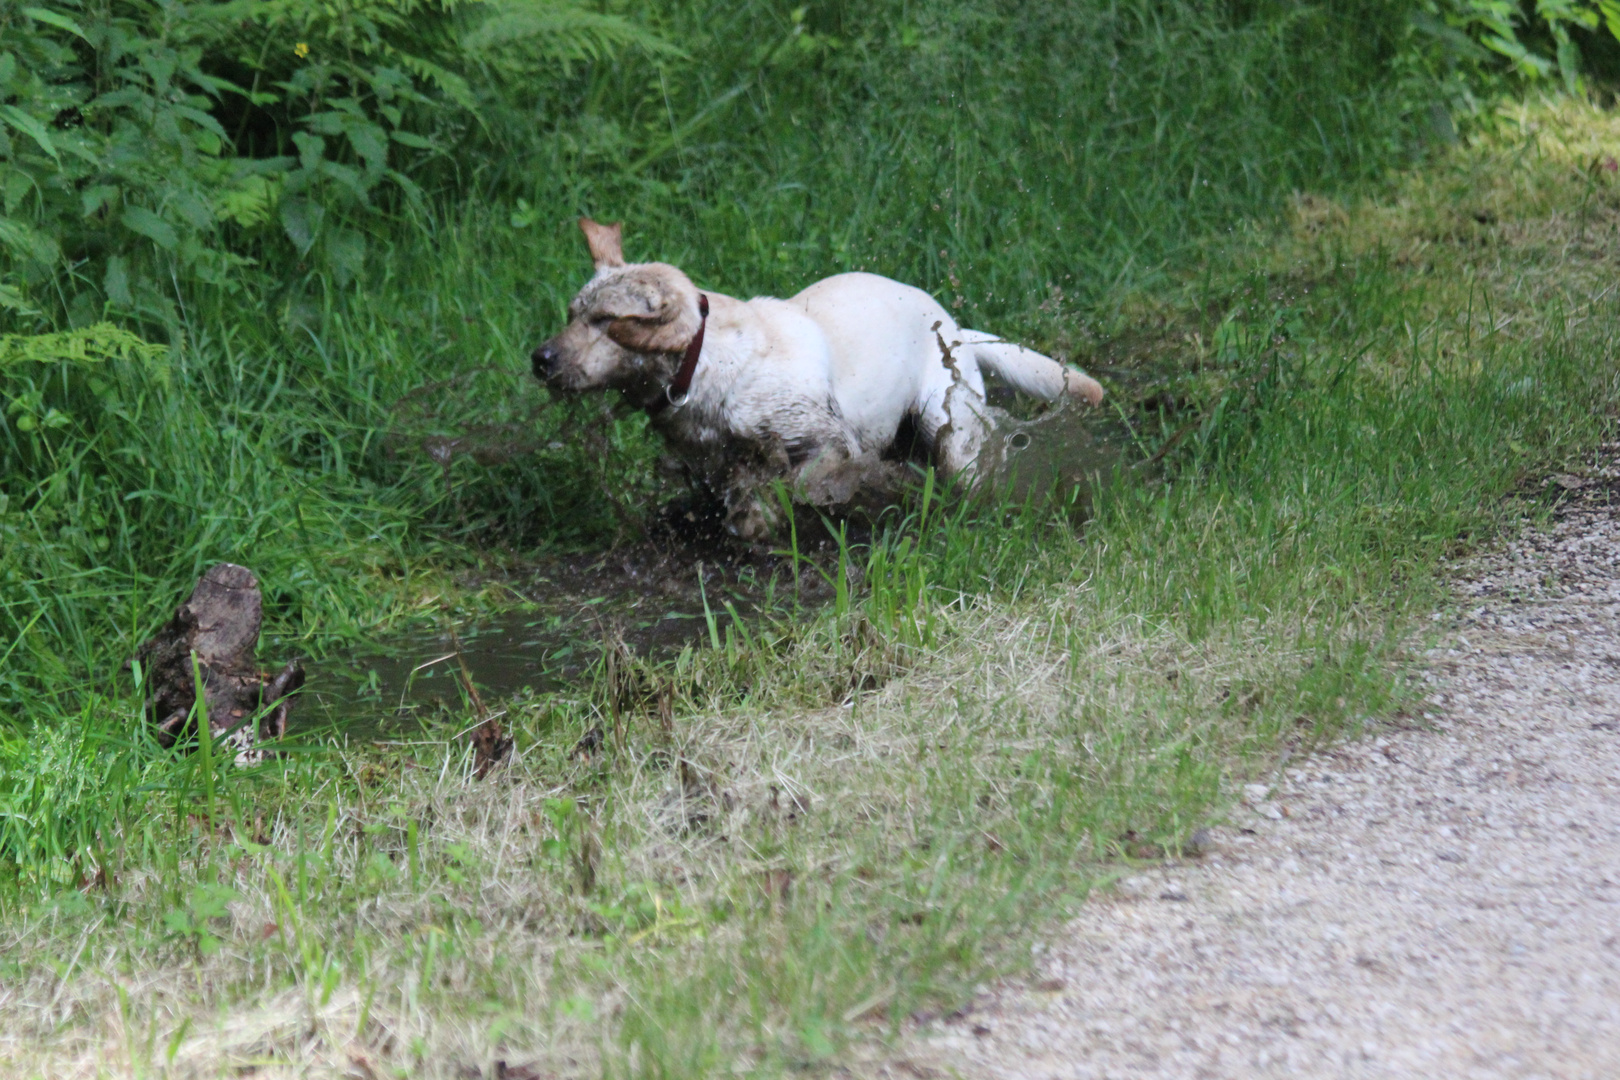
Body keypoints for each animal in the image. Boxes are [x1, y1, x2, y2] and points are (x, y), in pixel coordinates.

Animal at [531, 220, 1101, 540]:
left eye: (606, 321)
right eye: (572, 314)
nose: (539, 359)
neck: (706, 365)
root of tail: (954, 328)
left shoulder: (831, 443)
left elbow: (786, 488)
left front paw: (762, 518)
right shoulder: (713, 462)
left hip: (949, 425)